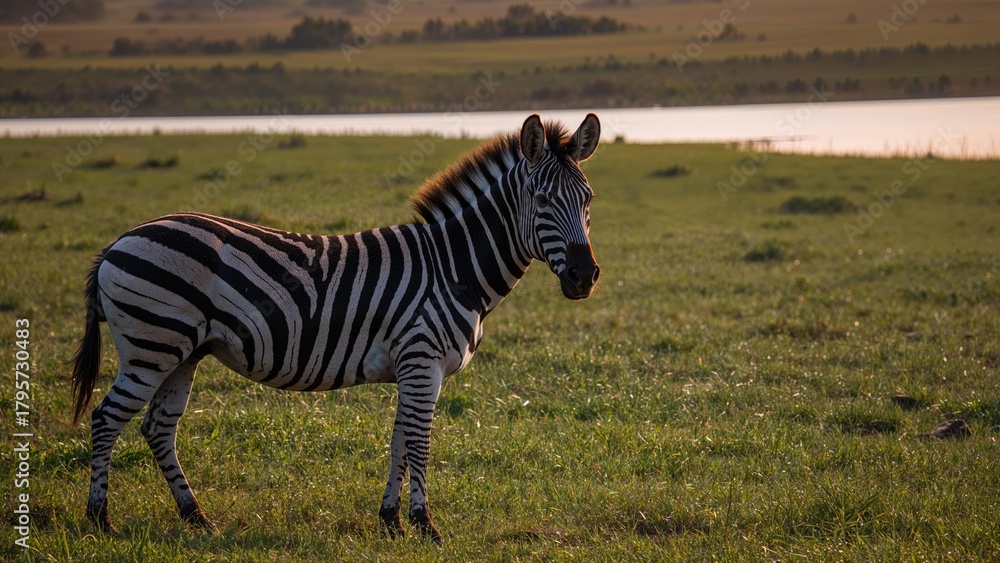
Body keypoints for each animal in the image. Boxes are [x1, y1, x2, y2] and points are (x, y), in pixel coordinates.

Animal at [71, 113, 601, 543]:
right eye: (542, 199)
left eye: (588, 199)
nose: (584, 276)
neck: (452, 266)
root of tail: (119, 241)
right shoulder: (422, 359)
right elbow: (420, 442)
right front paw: (426, 526)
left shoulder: (409, 366)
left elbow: (400, 442)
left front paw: (391, 522)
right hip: (151, 346)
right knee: (106, 419)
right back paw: (100, 520)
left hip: (181, 353)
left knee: (158, 427)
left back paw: (196, 517)